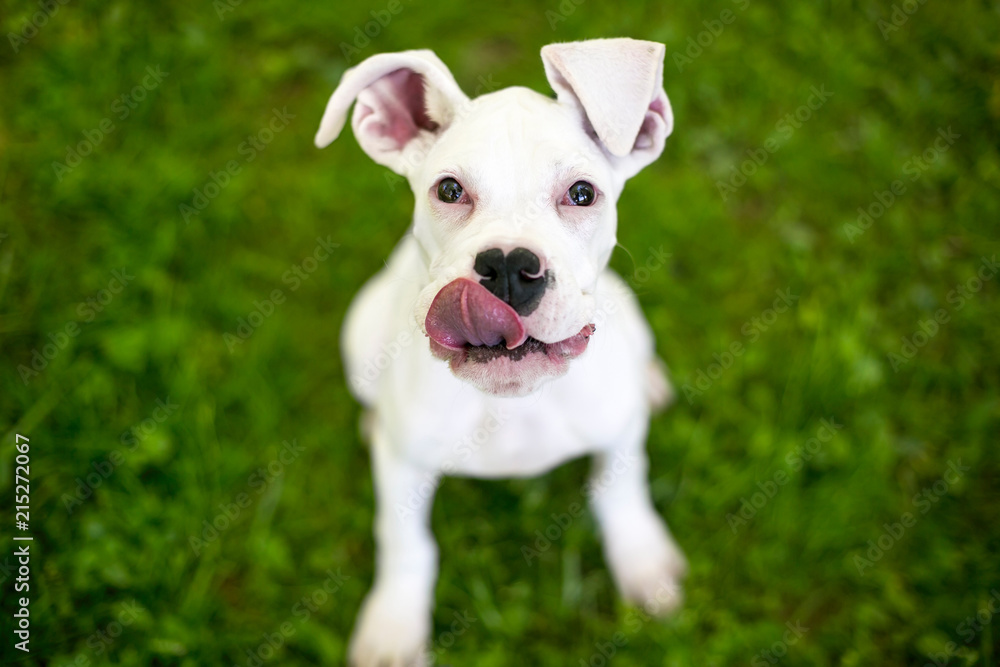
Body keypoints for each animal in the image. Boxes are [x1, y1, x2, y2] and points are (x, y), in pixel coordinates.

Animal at [314, 39, 688, 664]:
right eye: (449, 190)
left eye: (582, 194)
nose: (510, 267)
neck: (513, 404)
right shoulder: (402, 470)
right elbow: (405, 542)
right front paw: (394, 626)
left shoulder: (618, 434)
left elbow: (622, 487)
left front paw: (643, 562)